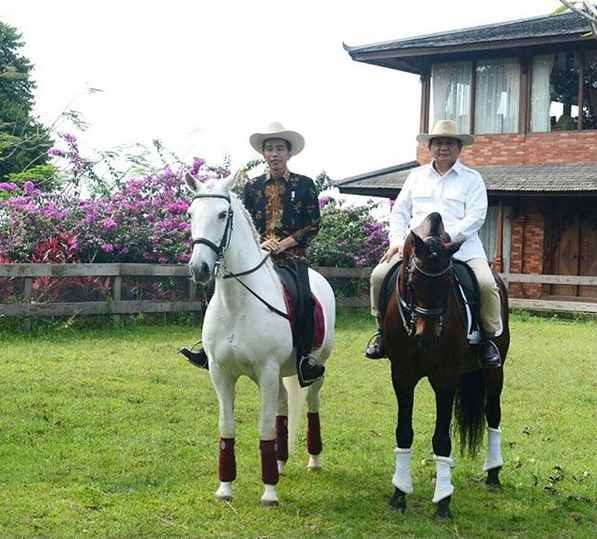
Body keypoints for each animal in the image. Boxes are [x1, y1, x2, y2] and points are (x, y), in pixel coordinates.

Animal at [184, 172, 336, 506]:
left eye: (223, 214)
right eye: (190, 214)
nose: (199, 268)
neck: (237, 305)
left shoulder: (266, 372)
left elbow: (265, 427)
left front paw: (269, 493)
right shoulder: (221, 373)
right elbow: (227, 426)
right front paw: (225, 488)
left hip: (315, 368)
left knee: (311, 403)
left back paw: (313, 460)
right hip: (278, 375)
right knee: (283, 404)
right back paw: (279, 463)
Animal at [382, 213, 508, 520]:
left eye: (449, 281)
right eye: (412, 280)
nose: (427, 337)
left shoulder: (444, 378)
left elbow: (441, 438)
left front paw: (443, 502)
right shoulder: (401, 375)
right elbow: (404, 432)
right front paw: (399, 495)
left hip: (494, 371)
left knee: (493, 414)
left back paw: (492, 475)